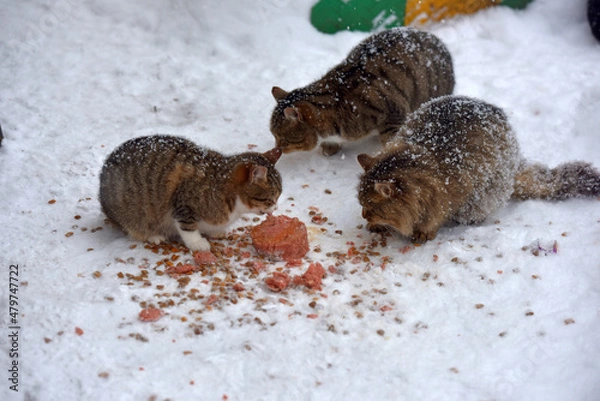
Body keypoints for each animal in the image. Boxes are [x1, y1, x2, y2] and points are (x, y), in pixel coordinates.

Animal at [99, 136, 284, 252]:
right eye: (269, 199)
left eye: (279, 196)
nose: (275, 208)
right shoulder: (184, 204)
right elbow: (188, 227)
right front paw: (198, 243)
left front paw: (215, 231)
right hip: (131, 211)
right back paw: (153, 235)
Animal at [270, 27, 452, 155]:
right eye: (274, 136)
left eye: (282, 139)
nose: (277, 149)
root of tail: (439, 42)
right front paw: (331, 146)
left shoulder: (393, 113)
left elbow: (391, 140)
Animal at [358, 95, 596, 242]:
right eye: (361, 205)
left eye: (371, 207)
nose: (364, 216)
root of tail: (516, 160)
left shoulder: (447, 199)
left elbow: (433, 219)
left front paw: (423, 231)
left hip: (482, 200)